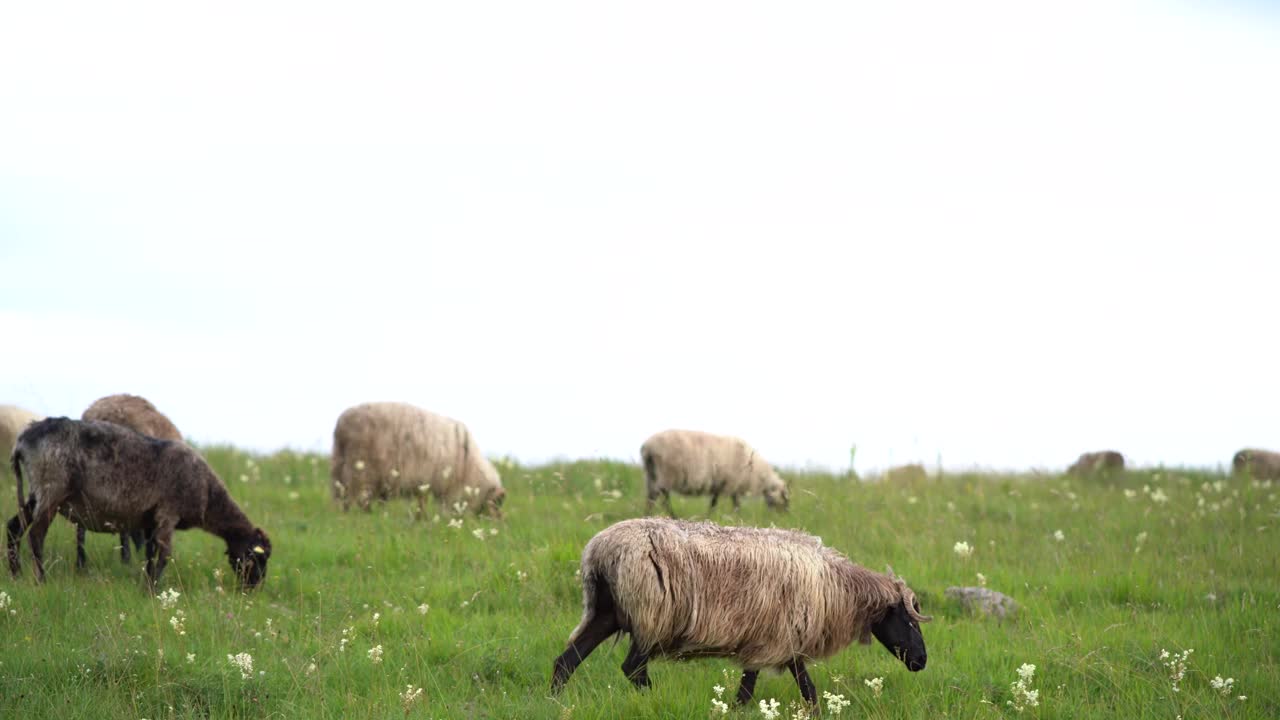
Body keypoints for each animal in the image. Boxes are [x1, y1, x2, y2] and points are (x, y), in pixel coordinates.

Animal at [6, 415, 271, 589]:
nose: (253, 588)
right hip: (52, 489)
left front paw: (147, 582)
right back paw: (41, 580)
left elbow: (150, 554)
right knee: (36, 535)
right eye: (258, 557)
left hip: (36, 493)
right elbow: (164, 554)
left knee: (13, 527)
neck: (208, 494)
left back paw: (16, 574)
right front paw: (152, 590)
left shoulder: (151, 519)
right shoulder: (168, 512)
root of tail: (23, 439)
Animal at [330, 397, 504, 515]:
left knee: (343, 497)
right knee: (361, 498)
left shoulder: (425, 483)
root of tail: (342, 426)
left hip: (340, 468)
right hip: (362, 470)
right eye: (496, 504)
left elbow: (421, 504)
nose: (500, 523)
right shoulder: (443, 485)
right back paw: (367, 515)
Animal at [550, 515, 931, 702]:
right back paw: (649, 701)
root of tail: (601, 550)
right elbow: (754, 692)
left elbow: (804, 691)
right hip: (651, 616)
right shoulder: (772, 639)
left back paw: (554, 703)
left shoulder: (778, 642)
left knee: (566, 662)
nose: (922, 661)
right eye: (909, 622)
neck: (836, 589)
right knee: (632, 669)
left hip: (605, 612)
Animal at [640, 427, 788, 512]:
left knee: (652, 496)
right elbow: (728, 504)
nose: (785, 515)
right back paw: (672, 515)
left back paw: (649, 514)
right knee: (661, 496)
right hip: (667, 473)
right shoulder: (730, 483)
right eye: (784, 497)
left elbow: (719, 502)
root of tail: (648, 447)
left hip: (651, 473)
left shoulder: (723, 484)